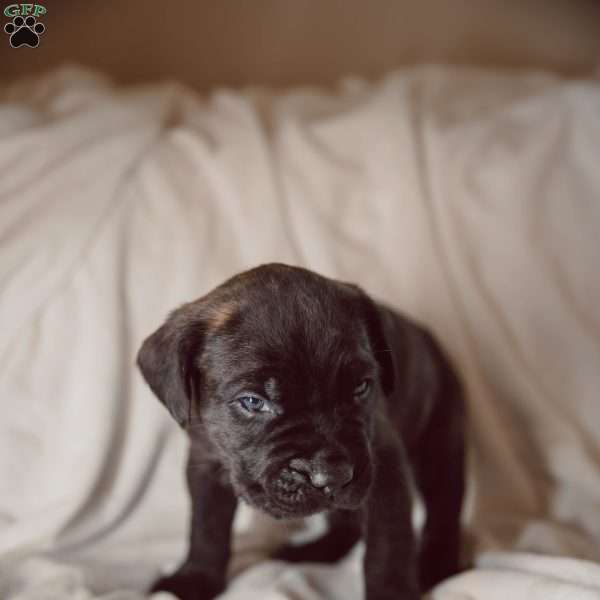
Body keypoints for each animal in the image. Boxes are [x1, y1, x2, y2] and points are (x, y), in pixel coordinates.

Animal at [138, 262, 466, 600]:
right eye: (252, 401)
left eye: (361, 387)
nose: (331, 475)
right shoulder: (204, 462)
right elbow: (206, 527)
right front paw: (195, 577)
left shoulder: (385, 465)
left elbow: (389, 546)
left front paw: (392, 591)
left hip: (440, 442)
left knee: (443, 509)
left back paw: (436, 565)